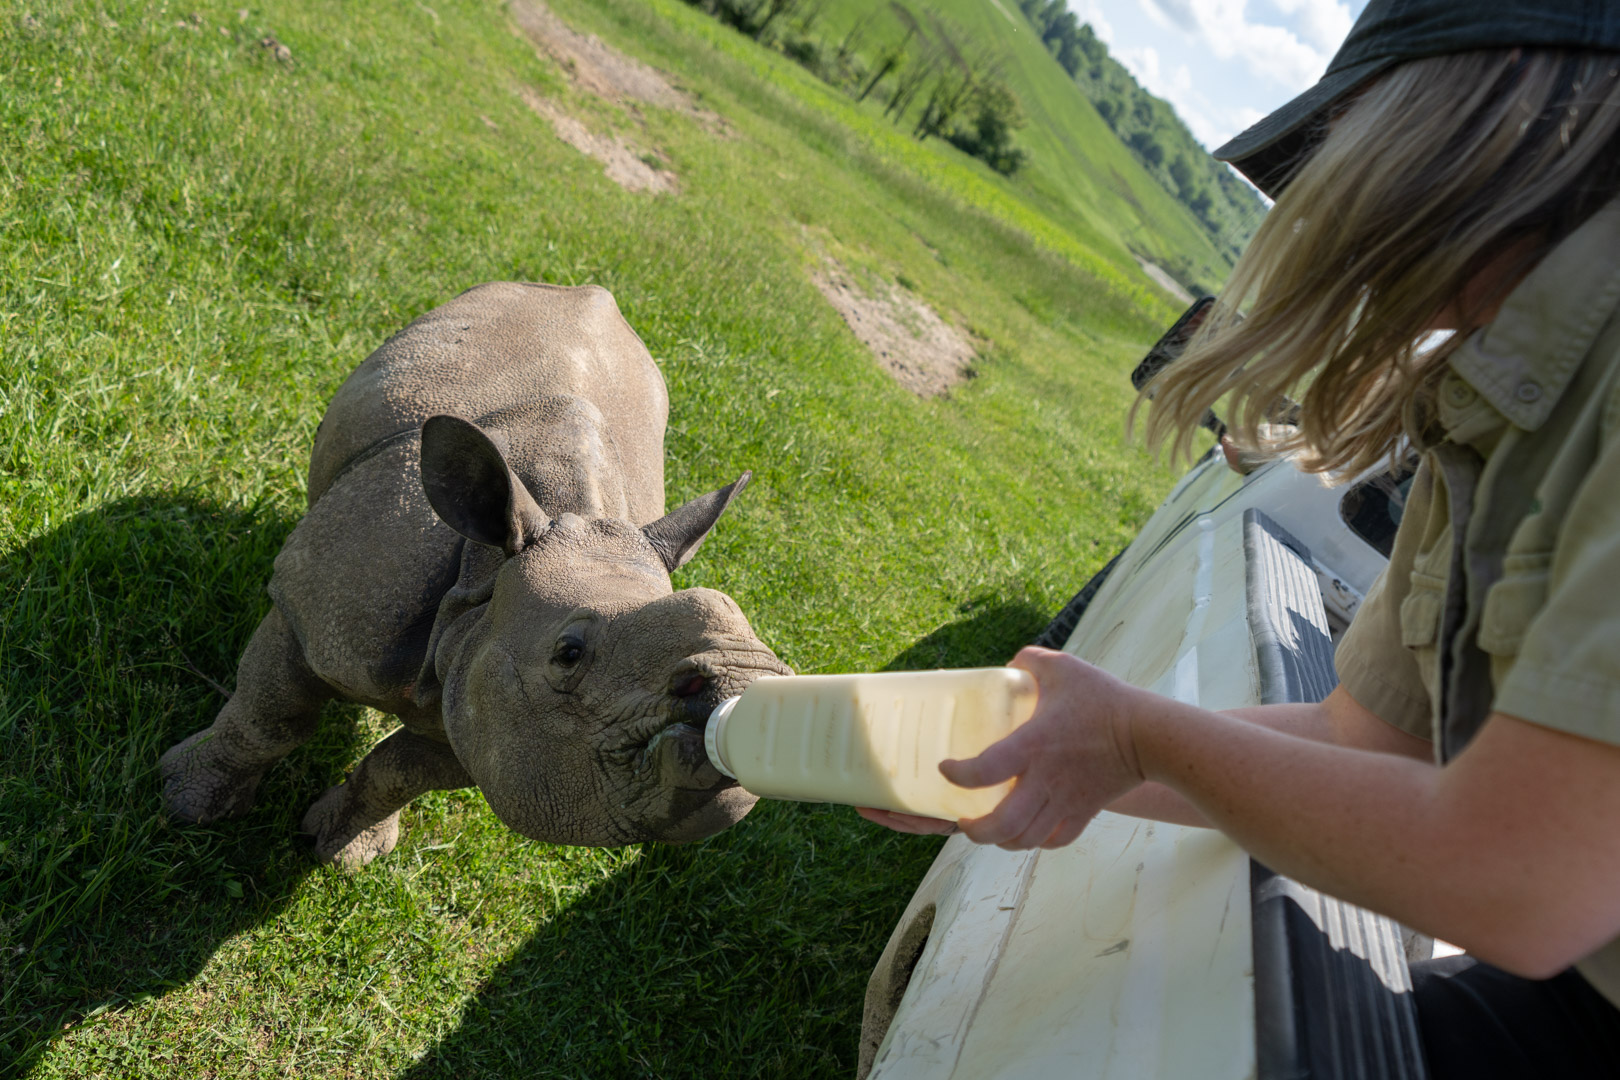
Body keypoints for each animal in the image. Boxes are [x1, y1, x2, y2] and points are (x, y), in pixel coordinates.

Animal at [162, 281, 790, 867]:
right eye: (568, 654)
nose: (748, 682)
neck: (487, 576)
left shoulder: (485, 706)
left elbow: (398, 774)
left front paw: (345, 855)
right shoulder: (310, 613)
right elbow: (271, 719)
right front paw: (186, 804)